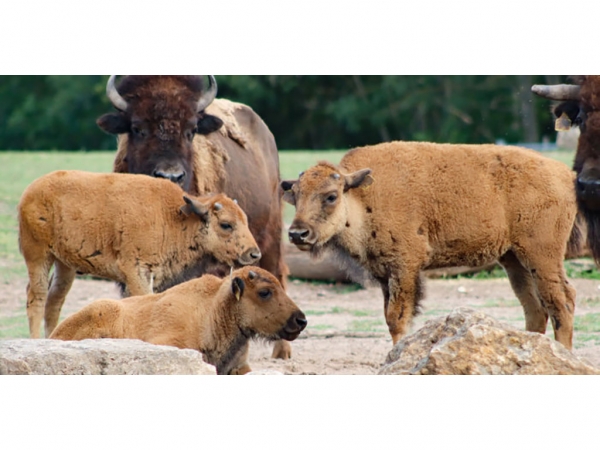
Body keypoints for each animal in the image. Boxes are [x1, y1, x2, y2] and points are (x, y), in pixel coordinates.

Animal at [18, 171, 258, 340]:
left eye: (246, 219)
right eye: (226, 224)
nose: (254, 253)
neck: (174, 216)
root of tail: (29, 192)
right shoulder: (136, 270)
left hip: (64, 264)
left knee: (54, 299)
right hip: (38, 255)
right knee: (37, 296)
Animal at [96, 76, 290, 358]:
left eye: (191, 131)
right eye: (137, 128)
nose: (171, 175)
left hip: (270, 233)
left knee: (277, 272)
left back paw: (281, 352)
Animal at [284, 141, 584, 348]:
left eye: (331, 196)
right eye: (295, 195)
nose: (298, 234)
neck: (362, 195)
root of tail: (565, 174)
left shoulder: (405, 267)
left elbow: (397, 318)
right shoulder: (384, 274)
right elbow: (390, 318)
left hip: (541, 255)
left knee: (562, 301)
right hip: (514, 259)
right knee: (535, 308)